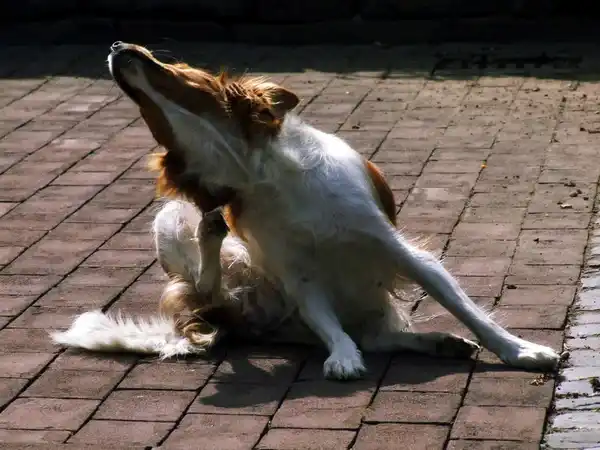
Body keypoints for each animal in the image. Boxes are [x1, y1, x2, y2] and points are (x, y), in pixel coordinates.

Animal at [49, 42, 560, 380]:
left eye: (175, 67)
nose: (118, 45)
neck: (259, 174)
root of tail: (243, 324)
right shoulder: (297, 274)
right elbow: (329, 323)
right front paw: (343, 357)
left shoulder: (399, 249)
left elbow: (466, 308)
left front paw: (521, 351)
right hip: (172, 218)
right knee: (208, 285)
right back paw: (211, 234)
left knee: (377, 334)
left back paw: (440, 342)